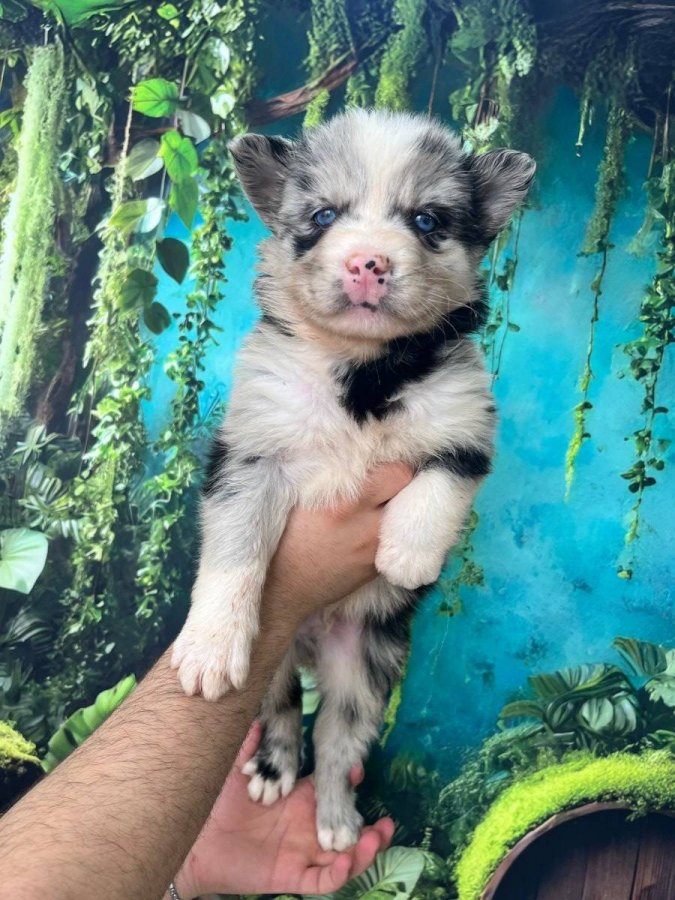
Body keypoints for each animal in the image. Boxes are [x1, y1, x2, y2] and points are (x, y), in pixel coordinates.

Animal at [171, 108, 535, 851]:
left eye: (426, 221)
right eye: (322, 215)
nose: (368, 261)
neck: (362, 368)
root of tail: (310, 647)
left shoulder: (466, 425)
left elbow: (439, 485)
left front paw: (407, 553)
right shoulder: (249, 453)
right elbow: (234, 554)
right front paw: (210, 644)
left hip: (364, 671)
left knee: (339, 745)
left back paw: (336, 820)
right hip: (275, 662)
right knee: (283, 712)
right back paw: (272, 770)